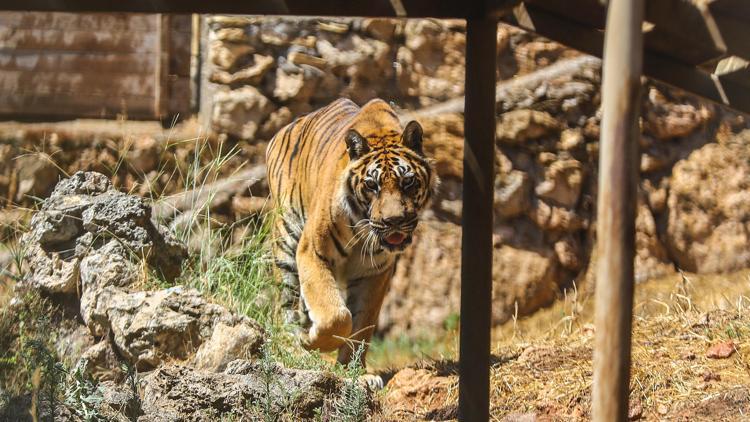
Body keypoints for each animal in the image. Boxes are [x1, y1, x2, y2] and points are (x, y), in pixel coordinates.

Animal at [268, 99, 438, 370]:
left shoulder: (375, 271)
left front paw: (353, 370)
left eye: (407, 182)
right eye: (372, 185)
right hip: (286, 242)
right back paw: (293, 347)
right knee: (284, 305)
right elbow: (335, 316)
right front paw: (313, 341)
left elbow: (362, 323)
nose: (394, 221)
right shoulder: (311, 252)